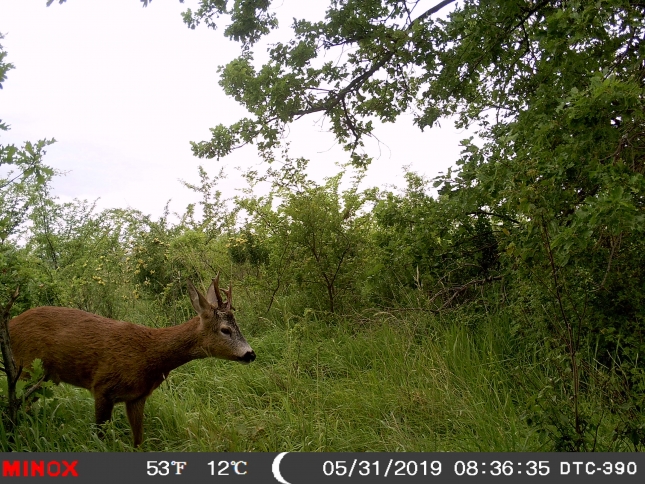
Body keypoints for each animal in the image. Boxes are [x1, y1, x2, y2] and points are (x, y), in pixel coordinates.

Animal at [8, 274, 254, 448]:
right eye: (225, 330)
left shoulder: (137, 397)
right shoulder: (102, 387)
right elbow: (99, 436)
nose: (250, 354)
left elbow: (138, 441)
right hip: (26, 369)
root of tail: (10, 323)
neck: (149, 355)